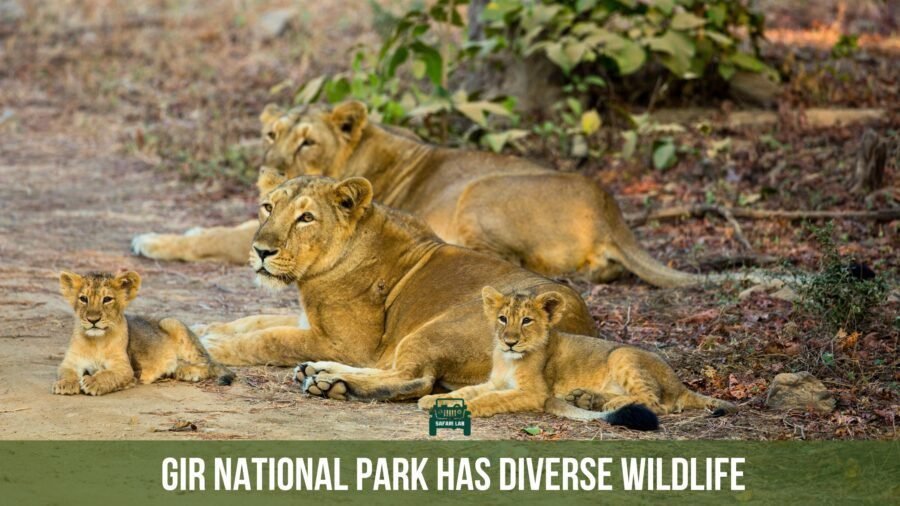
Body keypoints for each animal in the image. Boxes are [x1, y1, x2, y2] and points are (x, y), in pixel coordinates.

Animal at [53, 271, 234, 396]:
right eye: (83, 299)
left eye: (107, 299)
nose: (93, 320)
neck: (95, 341)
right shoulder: (70, 362)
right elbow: (65, 371)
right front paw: (65, 384)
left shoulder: (125, 368)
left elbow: (109, 375)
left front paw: (93, 383)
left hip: (172, 323)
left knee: (209, 364)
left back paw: (189, 372)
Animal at [132, 101, 701, 287]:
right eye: (271, 134)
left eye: (308, 141)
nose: (268, 168)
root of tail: (609, 205)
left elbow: (219, 235)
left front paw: (153, 241)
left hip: (479, 191)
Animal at [196, 175, 597, 402]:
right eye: (267, 207)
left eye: (306, 218)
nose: (261, 250)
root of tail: (581, 330)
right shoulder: (313, 324)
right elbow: (255, 320)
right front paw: (207, 327)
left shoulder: (349, 344)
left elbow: (269, 338)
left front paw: (211, 345)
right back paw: (320, 372)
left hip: (437, 329)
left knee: (415, 379)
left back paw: (333, 385)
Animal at [417, 286, 734, 427]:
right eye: (503, 318)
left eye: (527, 321)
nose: (509, 342)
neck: (508, 360)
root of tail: (680, 384)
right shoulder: (494, 382)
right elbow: (466, 391)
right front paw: (433, 399)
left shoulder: (535, 393)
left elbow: (490, 399)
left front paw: (466, 409)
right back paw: (589, 399)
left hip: (622, 354)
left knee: (658, 404)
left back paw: (611, 403)